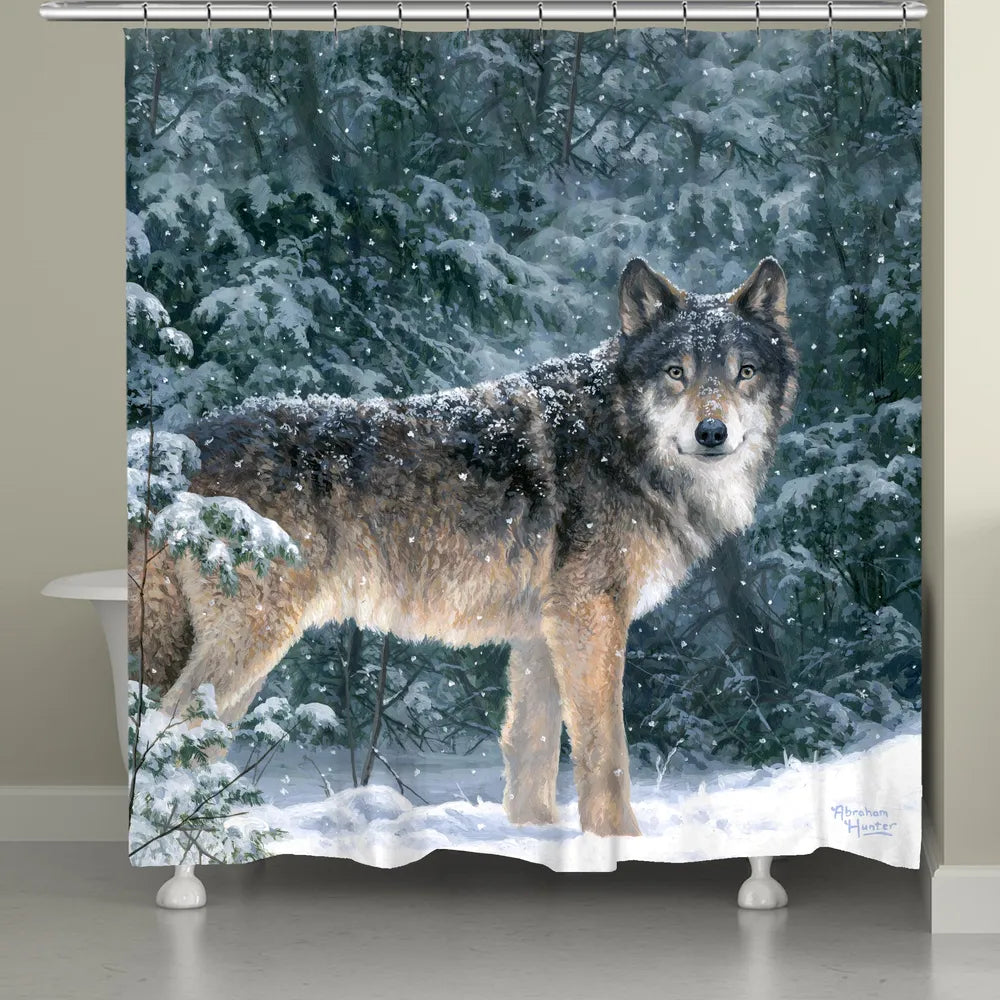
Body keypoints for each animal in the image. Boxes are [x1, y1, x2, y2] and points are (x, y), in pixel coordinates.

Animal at [130, 257, 798, 837]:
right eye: (676, 373)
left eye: (743, 372)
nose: (712, 432)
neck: (618, 441)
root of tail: (177, 445)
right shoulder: (591, 616)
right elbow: (606, 752)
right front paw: (620, 844)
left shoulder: (543, 631)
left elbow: (531, 754)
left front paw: (537, 840)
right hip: (253, 643)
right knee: (167, 730)